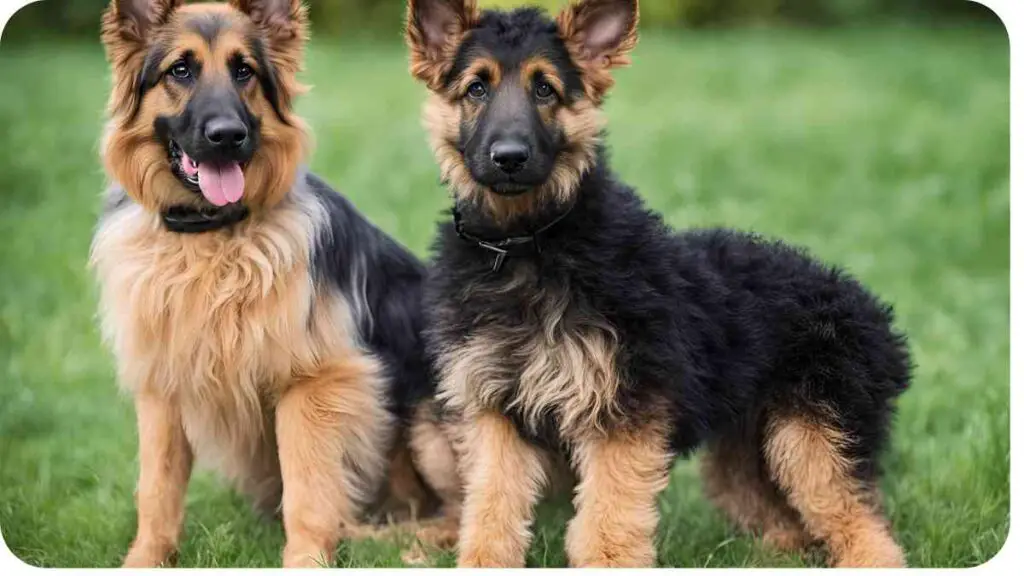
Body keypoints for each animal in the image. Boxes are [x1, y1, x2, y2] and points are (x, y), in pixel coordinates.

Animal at [92, 0, 452, 565]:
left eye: (244, 71)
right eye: (180, 70)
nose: (226, 136)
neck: (211, 236)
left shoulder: (313, 384)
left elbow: (307, 489)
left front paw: (307, 559)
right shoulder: (161, 388)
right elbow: (156, 488)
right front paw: (145, 559)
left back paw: (398, 544)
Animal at [405, 0, 913, 565]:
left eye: (545, 90)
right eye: (477, 87)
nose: (509, 157)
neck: (528, 243)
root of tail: (870, 310)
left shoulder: (620, 409)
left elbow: (607, 520)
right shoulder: (495, 411)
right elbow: (492, 507)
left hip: (815, 439)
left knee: (863, 525)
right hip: (750, 450)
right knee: (792, 526)